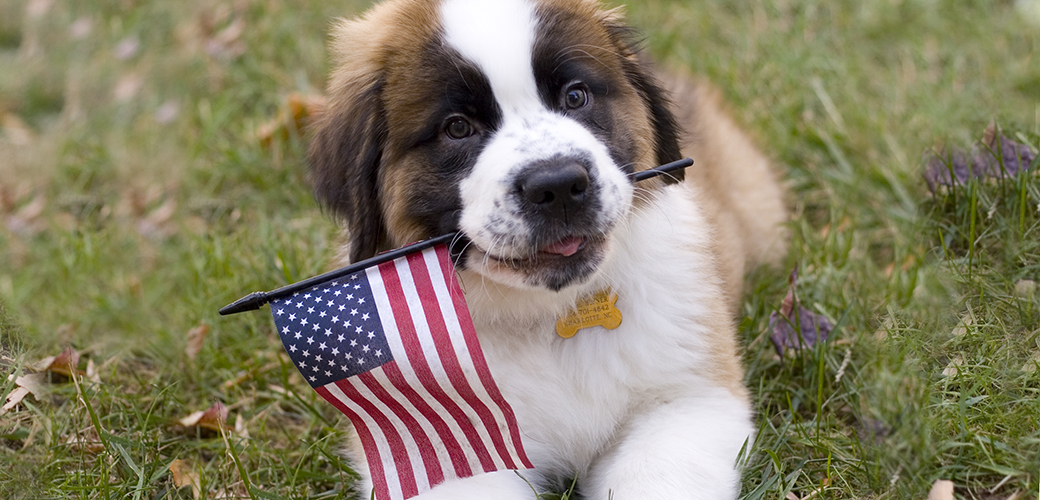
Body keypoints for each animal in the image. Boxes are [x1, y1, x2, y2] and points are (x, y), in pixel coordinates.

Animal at [307, 1, 786, 496]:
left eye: (575, 97)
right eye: (457, 127)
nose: (558, 185)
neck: (546, 319)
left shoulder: (687, 402)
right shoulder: (438, 451)